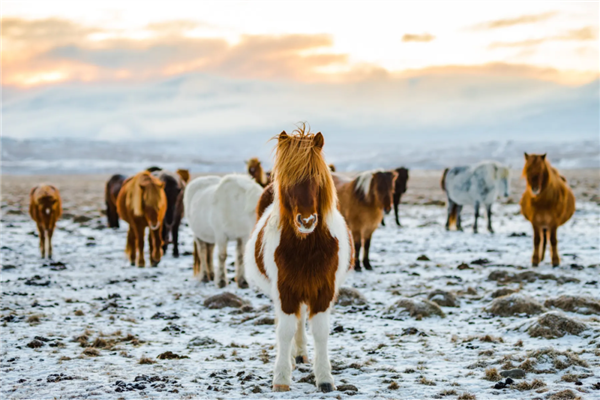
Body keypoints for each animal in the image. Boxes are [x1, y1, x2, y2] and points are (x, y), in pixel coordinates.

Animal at [246, 128, 354, 394]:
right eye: (287, 180)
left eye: (317, 177)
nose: (306, 221)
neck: (306, 248)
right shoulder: (285, 290)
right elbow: (284, 331)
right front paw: (282, 378)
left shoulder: (323, 290)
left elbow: (320, 332)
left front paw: (325, 378)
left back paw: (301, 355)